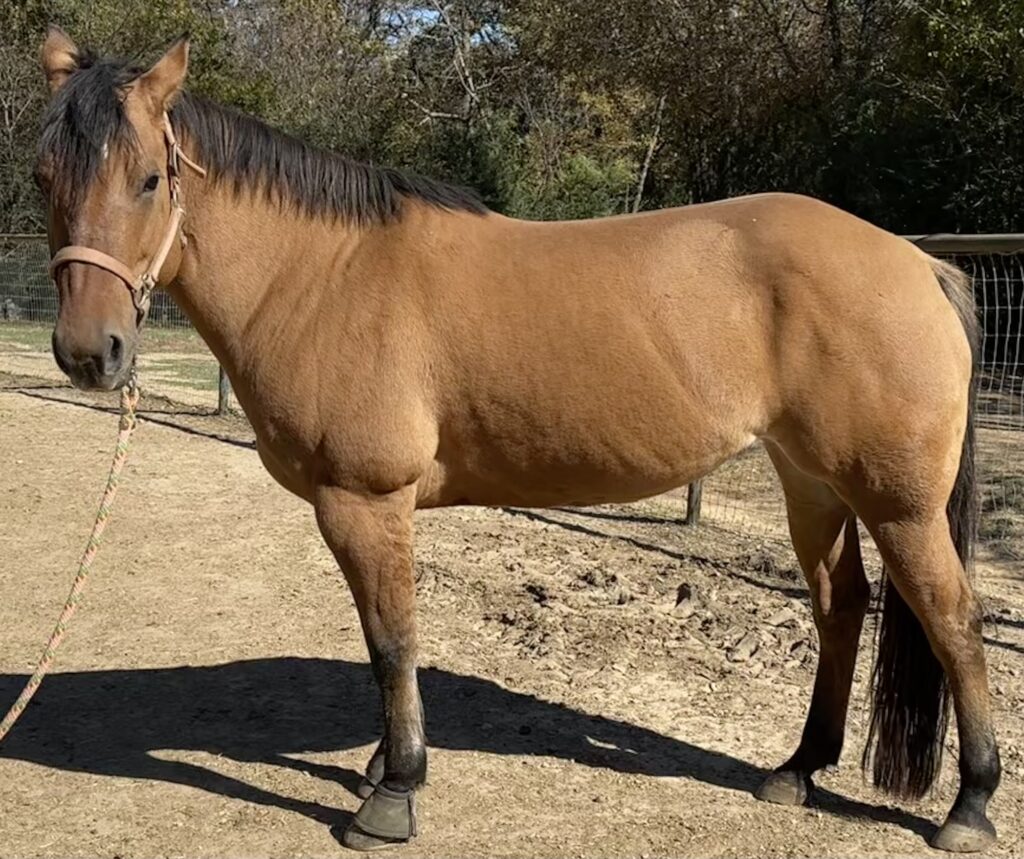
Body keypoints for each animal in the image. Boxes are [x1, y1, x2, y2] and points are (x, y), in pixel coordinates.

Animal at [36, 27, 999, 853]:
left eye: (150, 179)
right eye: (45, 175)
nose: (90, 352)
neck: (324, 274)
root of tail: (919, 262)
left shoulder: (363, 501)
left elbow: (393, 641)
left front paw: (393, 796)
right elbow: (384, 641)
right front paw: (382, 767)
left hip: (899, 504)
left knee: (951, 617)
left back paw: (970, 805)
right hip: (811, 482)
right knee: (841, 605)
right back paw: (798, 770)